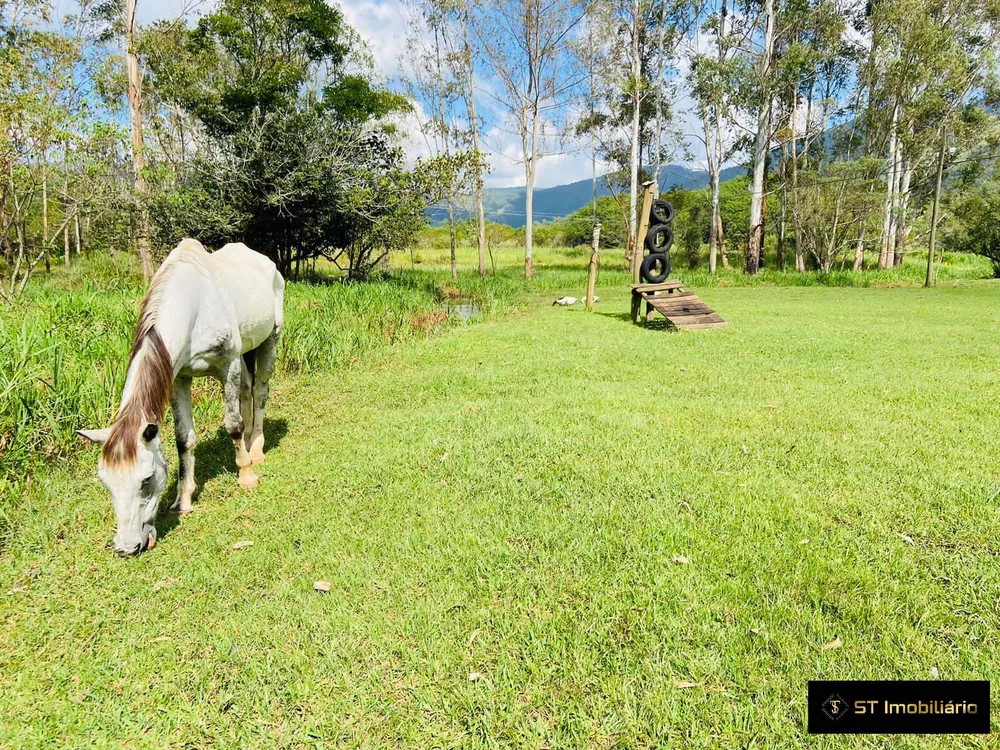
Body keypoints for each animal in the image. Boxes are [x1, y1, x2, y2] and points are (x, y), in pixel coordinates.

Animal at [78, 241, 286, 560]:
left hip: (269, 340)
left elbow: (232, 424)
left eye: (146, 479)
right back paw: (251, 442)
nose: (128, 548)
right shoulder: (178, 378)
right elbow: (183, 438)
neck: (194, 307)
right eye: (106, 482)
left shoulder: (228, 365)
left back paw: (257, 449)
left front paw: (246, 475)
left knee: (260, 391)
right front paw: (183, 499)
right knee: (247, 391)